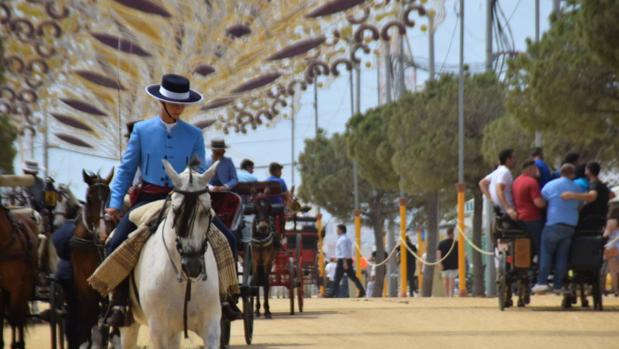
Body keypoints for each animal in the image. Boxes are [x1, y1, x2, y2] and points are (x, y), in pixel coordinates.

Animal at [0, 204, 38, 348]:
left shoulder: (17, 286)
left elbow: (15, 317)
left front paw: (16, 343)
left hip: (26, 285)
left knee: (19, 315)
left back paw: (19, 342)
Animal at [120, 160, 222, 348]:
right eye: (175, 210)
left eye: (207, 211)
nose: (192, 266)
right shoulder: (159, 330)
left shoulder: (211, 327)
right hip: (129, 324)